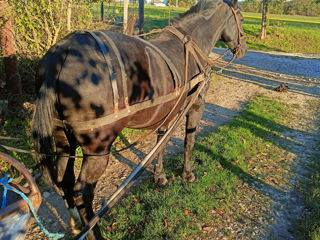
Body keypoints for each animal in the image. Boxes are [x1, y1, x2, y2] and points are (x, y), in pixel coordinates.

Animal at [32, 0, 248, 238]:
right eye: (241, 18)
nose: (244, 48)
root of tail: (63, 54)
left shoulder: (168, 113)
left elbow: (161, 144)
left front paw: (159, 176)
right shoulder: (196, 107)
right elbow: (188, 142)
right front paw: (187, 174)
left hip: (63, 140)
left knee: (65, 180)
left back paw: (75, 224)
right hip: (98, 149)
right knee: (82, 192)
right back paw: (93, 232)